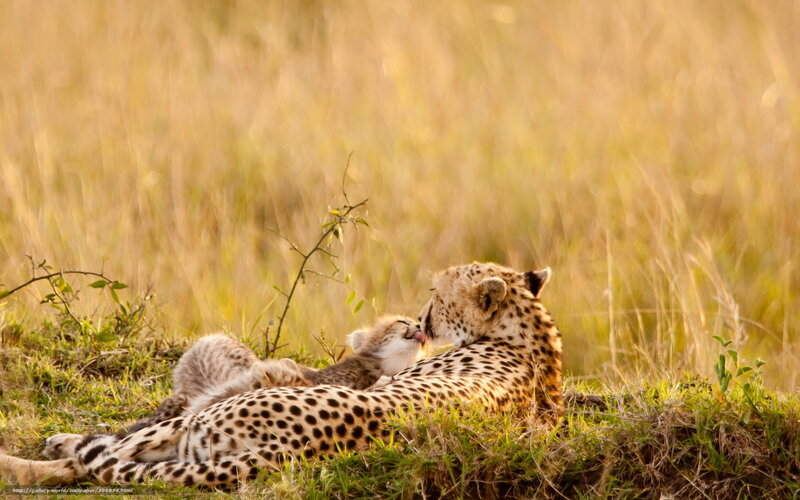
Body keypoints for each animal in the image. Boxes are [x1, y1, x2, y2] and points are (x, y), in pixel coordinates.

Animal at [0, 262, 562, 488]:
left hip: (196, 427)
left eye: (436, 294)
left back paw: (34, 457)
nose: (422, 321)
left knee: (94, 460)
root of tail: (285, 450)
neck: (528, 332)